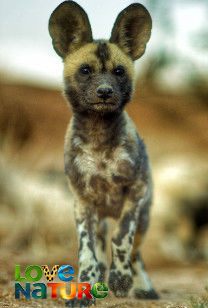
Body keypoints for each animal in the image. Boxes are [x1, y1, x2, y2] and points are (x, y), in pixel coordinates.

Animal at [48, 1, 158, 306]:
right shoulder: (83, 203)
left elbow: (122, 240)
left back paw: (142, 287)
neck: (98, 140)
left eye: (119, 71)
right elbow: (87, 252)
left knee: (137, 253)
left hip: (144, 219)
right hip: (97, 217)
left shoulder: (135, 191)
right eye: (86, 70)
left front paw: (120, 279)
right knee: (98, 247)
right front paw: (85, 286)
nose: (105, 91)